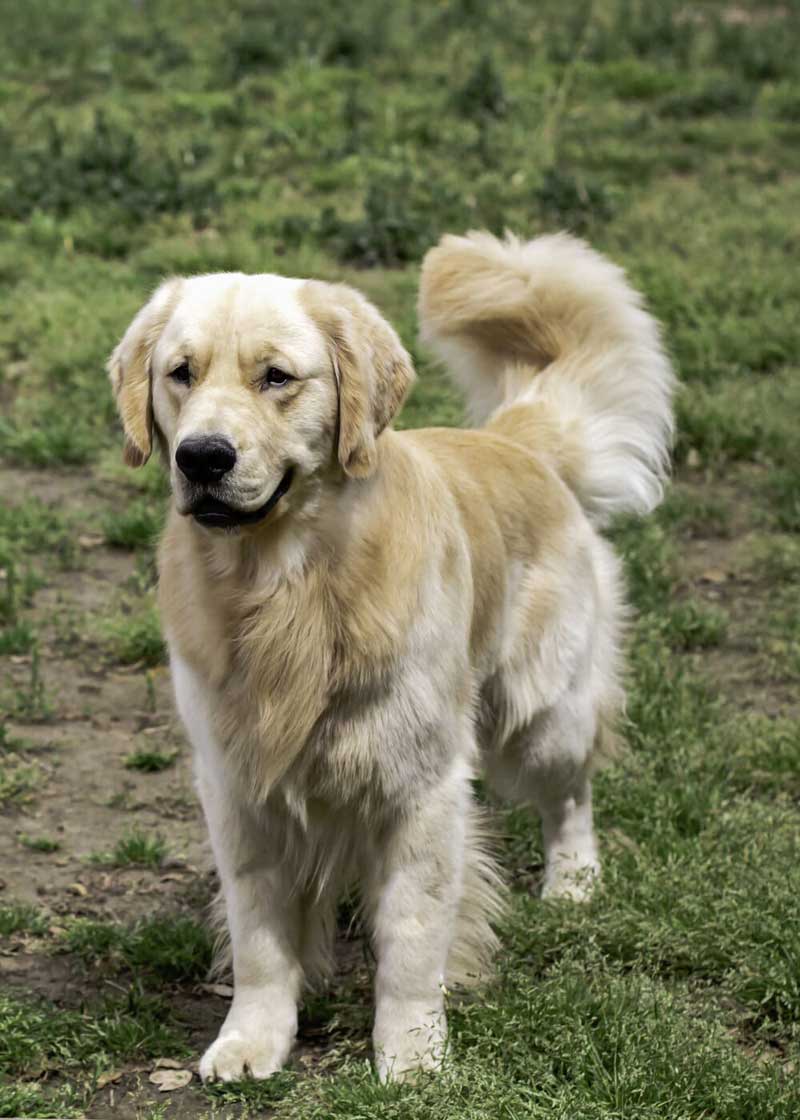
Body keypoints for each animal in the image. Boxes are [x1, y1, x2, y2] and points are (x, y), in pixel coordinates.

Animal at [107, 229, 672, 1084]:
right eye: (180, 373)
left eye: (277, 377)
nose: (203, 457)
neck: (289, 588)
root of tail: (512, 439)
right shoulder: (237, 787)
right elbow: (259, 940)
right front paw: (251, 1040)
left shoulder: (421, 788)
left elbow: (409, 939)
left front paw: (410, 1053)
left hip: (542, 715)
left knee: (571, 794)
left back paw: (573, 884)